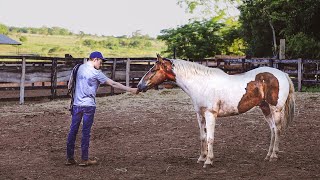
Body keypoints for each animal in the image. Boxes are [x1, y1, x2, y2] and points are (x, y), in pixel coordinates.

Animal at [138, 54, 296, 167]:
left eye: (153, 69)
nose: (139, 86)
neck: (201, 84)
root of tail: (282, 74)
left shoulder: (210, 114)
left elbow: (210, 138)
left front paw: (209, 161)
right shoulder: (200, 115)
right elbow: (202, 137)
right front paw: (201, 158)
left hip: (276, 109)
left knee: (277, 130)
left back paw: (274, 155)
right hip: (265, 108)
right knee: (273, 130)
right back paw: (268, 155)